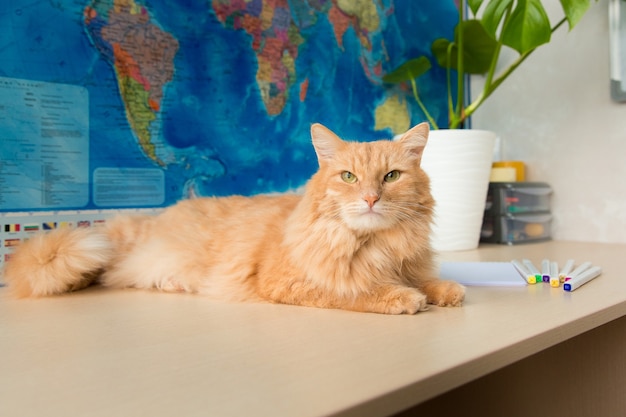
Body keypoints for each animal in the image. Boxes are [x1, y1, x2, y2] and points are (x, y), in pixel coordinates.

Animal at [2, 122, 460, 314]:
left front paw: (444, 291)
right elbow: (358, 292)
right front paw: (403, 298)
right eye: (348, 176)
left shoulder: (406, 264)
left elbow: (426, 281)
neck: (377, 245)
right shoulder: (288, 283)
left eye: (391, 176)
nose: (370, 198)